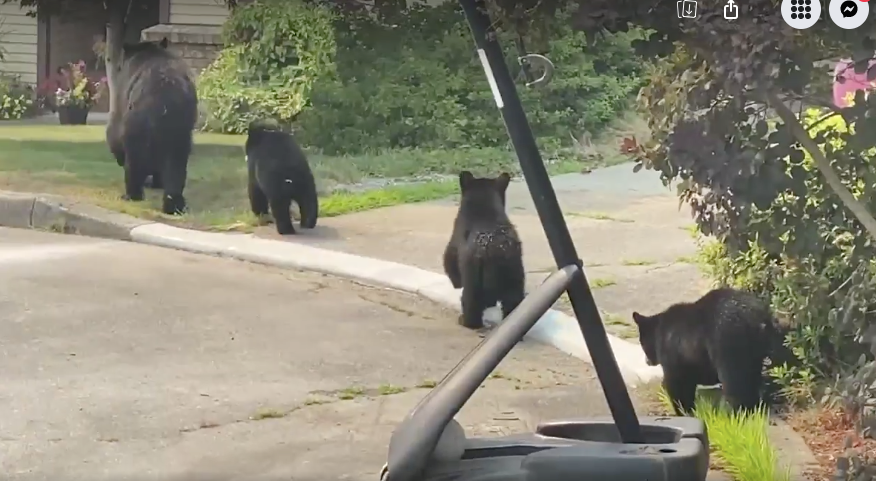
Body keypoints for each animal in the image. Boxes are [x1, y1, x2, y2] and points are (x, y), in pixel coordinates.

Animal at [105, 38, 198, 215]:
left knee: (134, 162)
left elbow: (113, 130)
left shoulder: (121, 95)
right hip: (180, 132)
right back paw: (174, 203)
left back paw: (131, 194)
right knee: (176, 166)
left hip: (136, 126)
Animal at [442, 172, 524, 330]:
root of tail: (496, 251)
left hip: (473, 274)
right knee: (514, 300)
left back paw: (466, 320)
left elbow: (450, 257)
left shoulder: (457, 234)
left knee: (470, 300)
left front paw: (455, 282)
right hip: (514, 271)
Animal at [628, 286, 788, 414]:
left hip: (728, 344)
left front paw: (684, 411)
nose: (647, 360)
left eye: (642, 342)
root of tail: (761, 318)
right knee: (751, 378)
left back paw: (734, 411)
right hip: (754, 351)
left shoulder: (673, 355)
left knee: (735, 382)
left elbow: (677, 385)